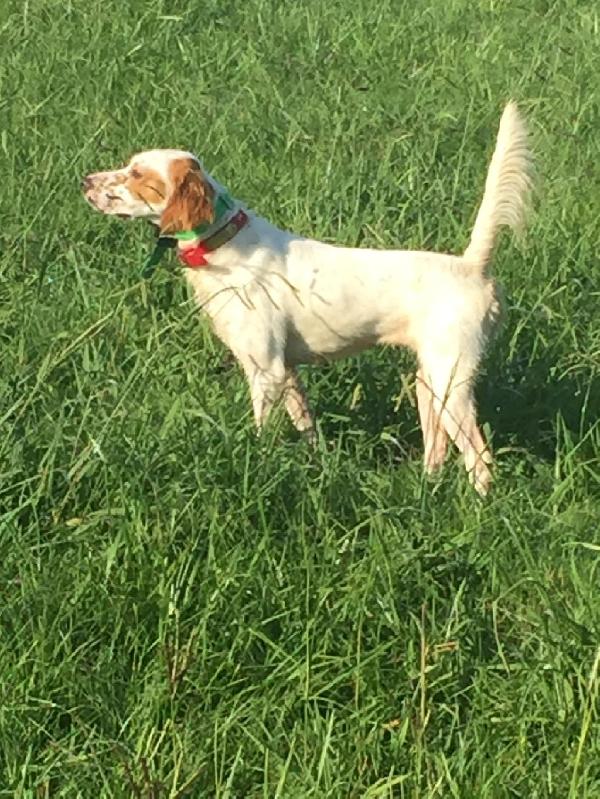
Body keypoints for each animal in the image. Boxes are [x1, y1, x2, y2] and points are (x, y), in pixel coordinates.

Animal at [82, 101, 532, 494]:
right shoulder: (288, 371)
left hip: (451, 382)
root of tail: (472, 267)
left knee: (480, 458)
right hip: (429, 385)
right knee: (437, 450)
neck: (227, 244)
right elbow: (307, 428)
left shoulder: (265, 369)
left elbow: (262, 430)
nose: (85, 180)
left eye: (137, 174)